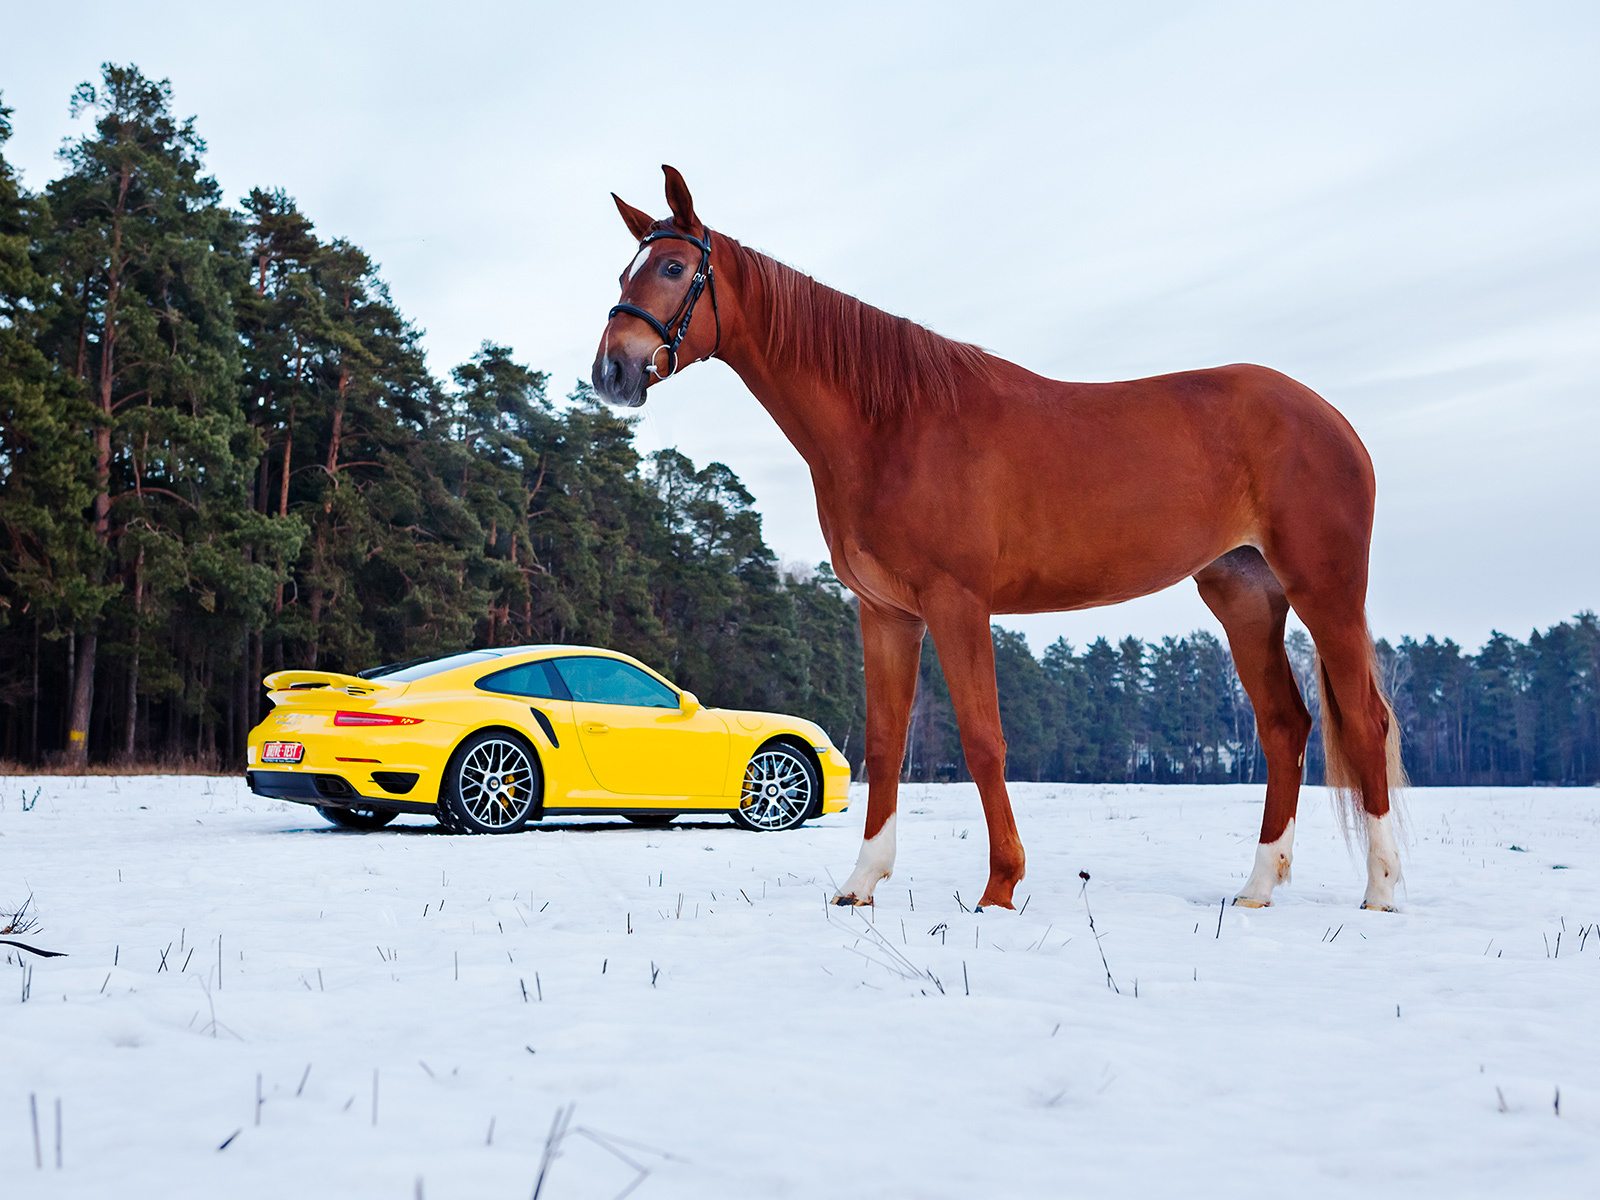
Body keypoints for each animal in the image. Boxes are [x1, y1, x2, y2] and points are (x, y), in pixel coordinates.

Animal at [595, 162, 1408, 908]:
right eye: (626, 269)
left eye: (673, 267)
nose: (612, 371)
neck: (893, 425)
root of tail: (1331, 418)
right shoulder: (886, 613)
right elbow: (884, 744)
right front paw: (861, 884)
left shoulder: (957, 602)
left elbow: (984, 741)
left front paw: (999, 887)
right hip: (1243, 594)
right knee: (1283, 726)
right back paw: (1258, 889)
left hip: (1326, 590)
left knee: (1366, 722)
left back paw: (1380, 891)